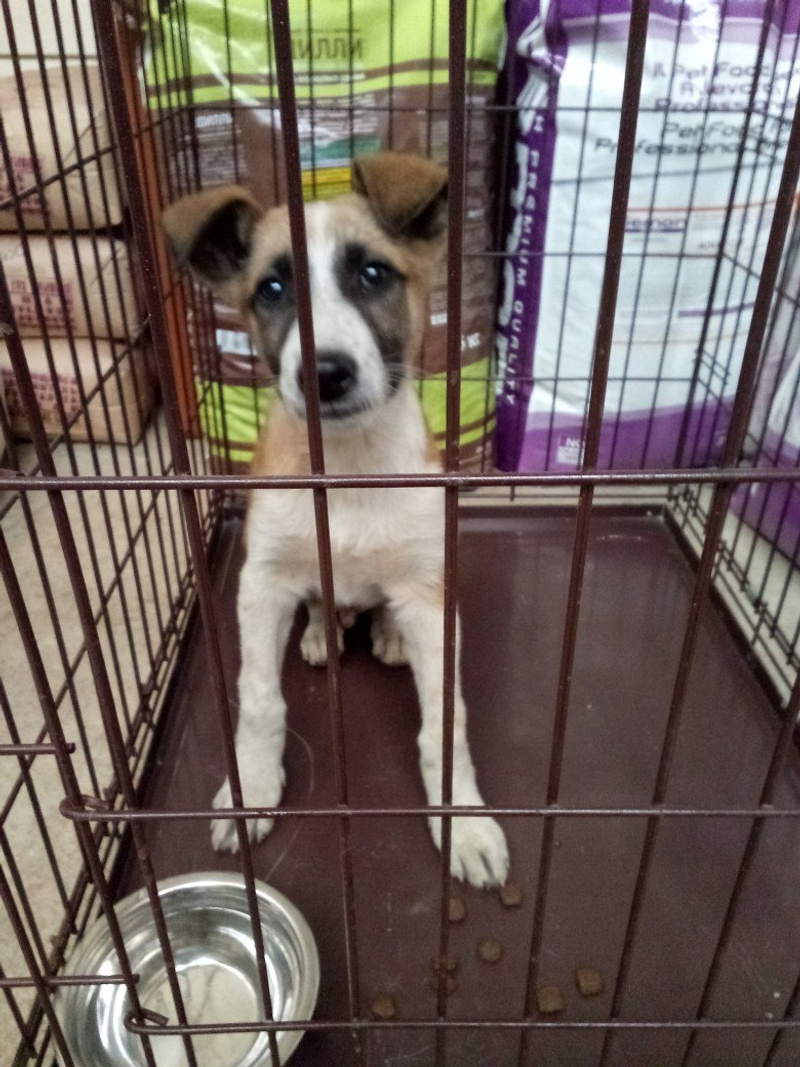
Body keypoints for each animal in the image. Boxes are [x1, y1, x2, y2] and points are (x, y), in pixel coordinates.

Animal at [162, 152, 509, 889]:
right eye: (271, 289)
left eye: (373, 274)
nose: (325, 373)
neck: (346, 466)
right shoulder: (261, 584)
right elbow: (259, 700)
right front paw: (252, 787)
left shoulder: (431, 597)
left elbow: (445, 723)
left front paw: (462, 820)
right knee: (323, 600)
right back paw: (325, 630)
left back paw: (385, 634)